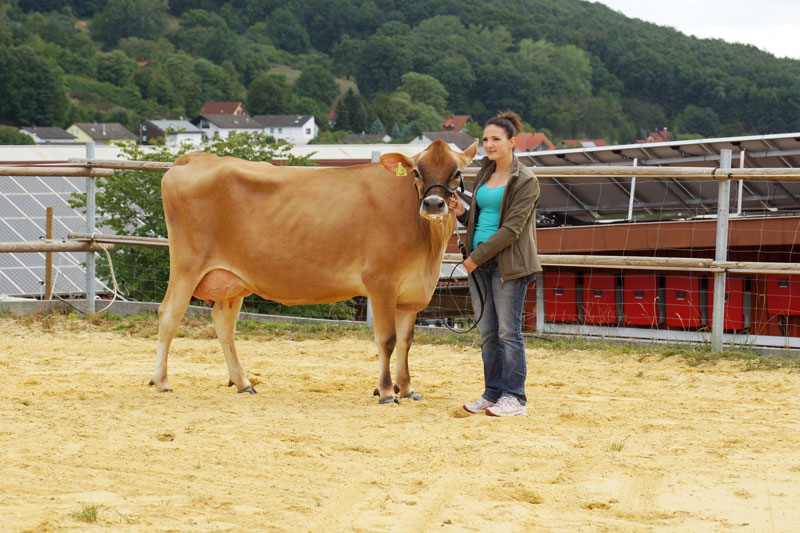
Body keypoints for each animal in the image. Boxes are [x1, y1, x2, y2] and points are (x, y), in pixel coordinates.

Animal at [150, 139, 478, 404]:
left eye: (457, 172)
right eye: (417, 171)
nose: (433, 204)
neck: (427, 248)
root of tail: (195, 158)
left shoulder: (412, 292)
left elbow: (407, 341)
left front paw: (407, 389)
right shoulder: (380, 282)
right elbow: (387, 339)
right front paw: (386, 392)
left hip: (233, 279)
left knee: (224, 324)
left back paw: (243, 383)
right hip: (187, 263)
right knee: (169, 314)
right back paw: (162, 381)